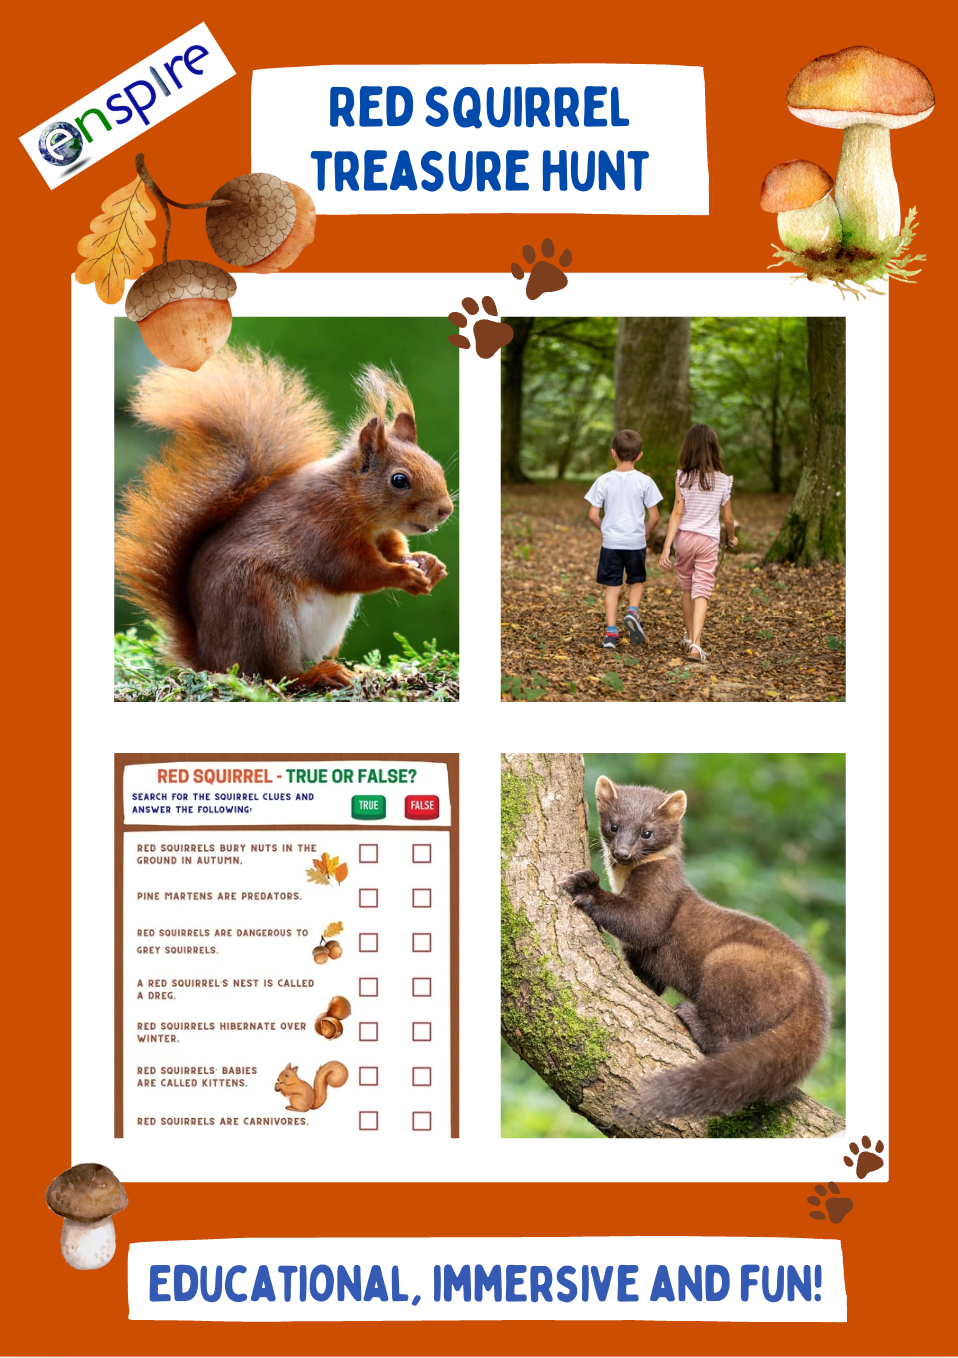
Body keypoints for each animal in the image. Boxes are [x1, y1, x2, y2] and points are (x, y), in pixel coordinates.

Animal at [115, 348, 454, 688]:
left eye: (436, 466)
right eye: (399, 480)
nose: (445, 510)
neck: (355, 504)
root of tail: (209, 659)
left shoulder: (382, 532)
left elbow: (394, 550)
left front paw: (428, 564)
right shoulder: (321, 530)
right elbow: (350, 571)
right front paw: (403, 575)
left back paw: (357, 670)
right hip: (263, 611)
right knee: (277, 673)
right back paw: (318, 674)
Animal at [561, 777, 830, 1118]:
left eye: (647, 832)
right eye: (613, 825)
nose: (622, 852)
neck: (622, 882)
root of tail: (815, 995)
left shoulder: (658, 903)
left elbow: (639, 922)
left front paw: (586, 888)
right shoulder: (640, 959)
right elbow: (647, 980)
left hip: (727, 960)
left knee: (725, 1039)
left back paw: (690, 1015)